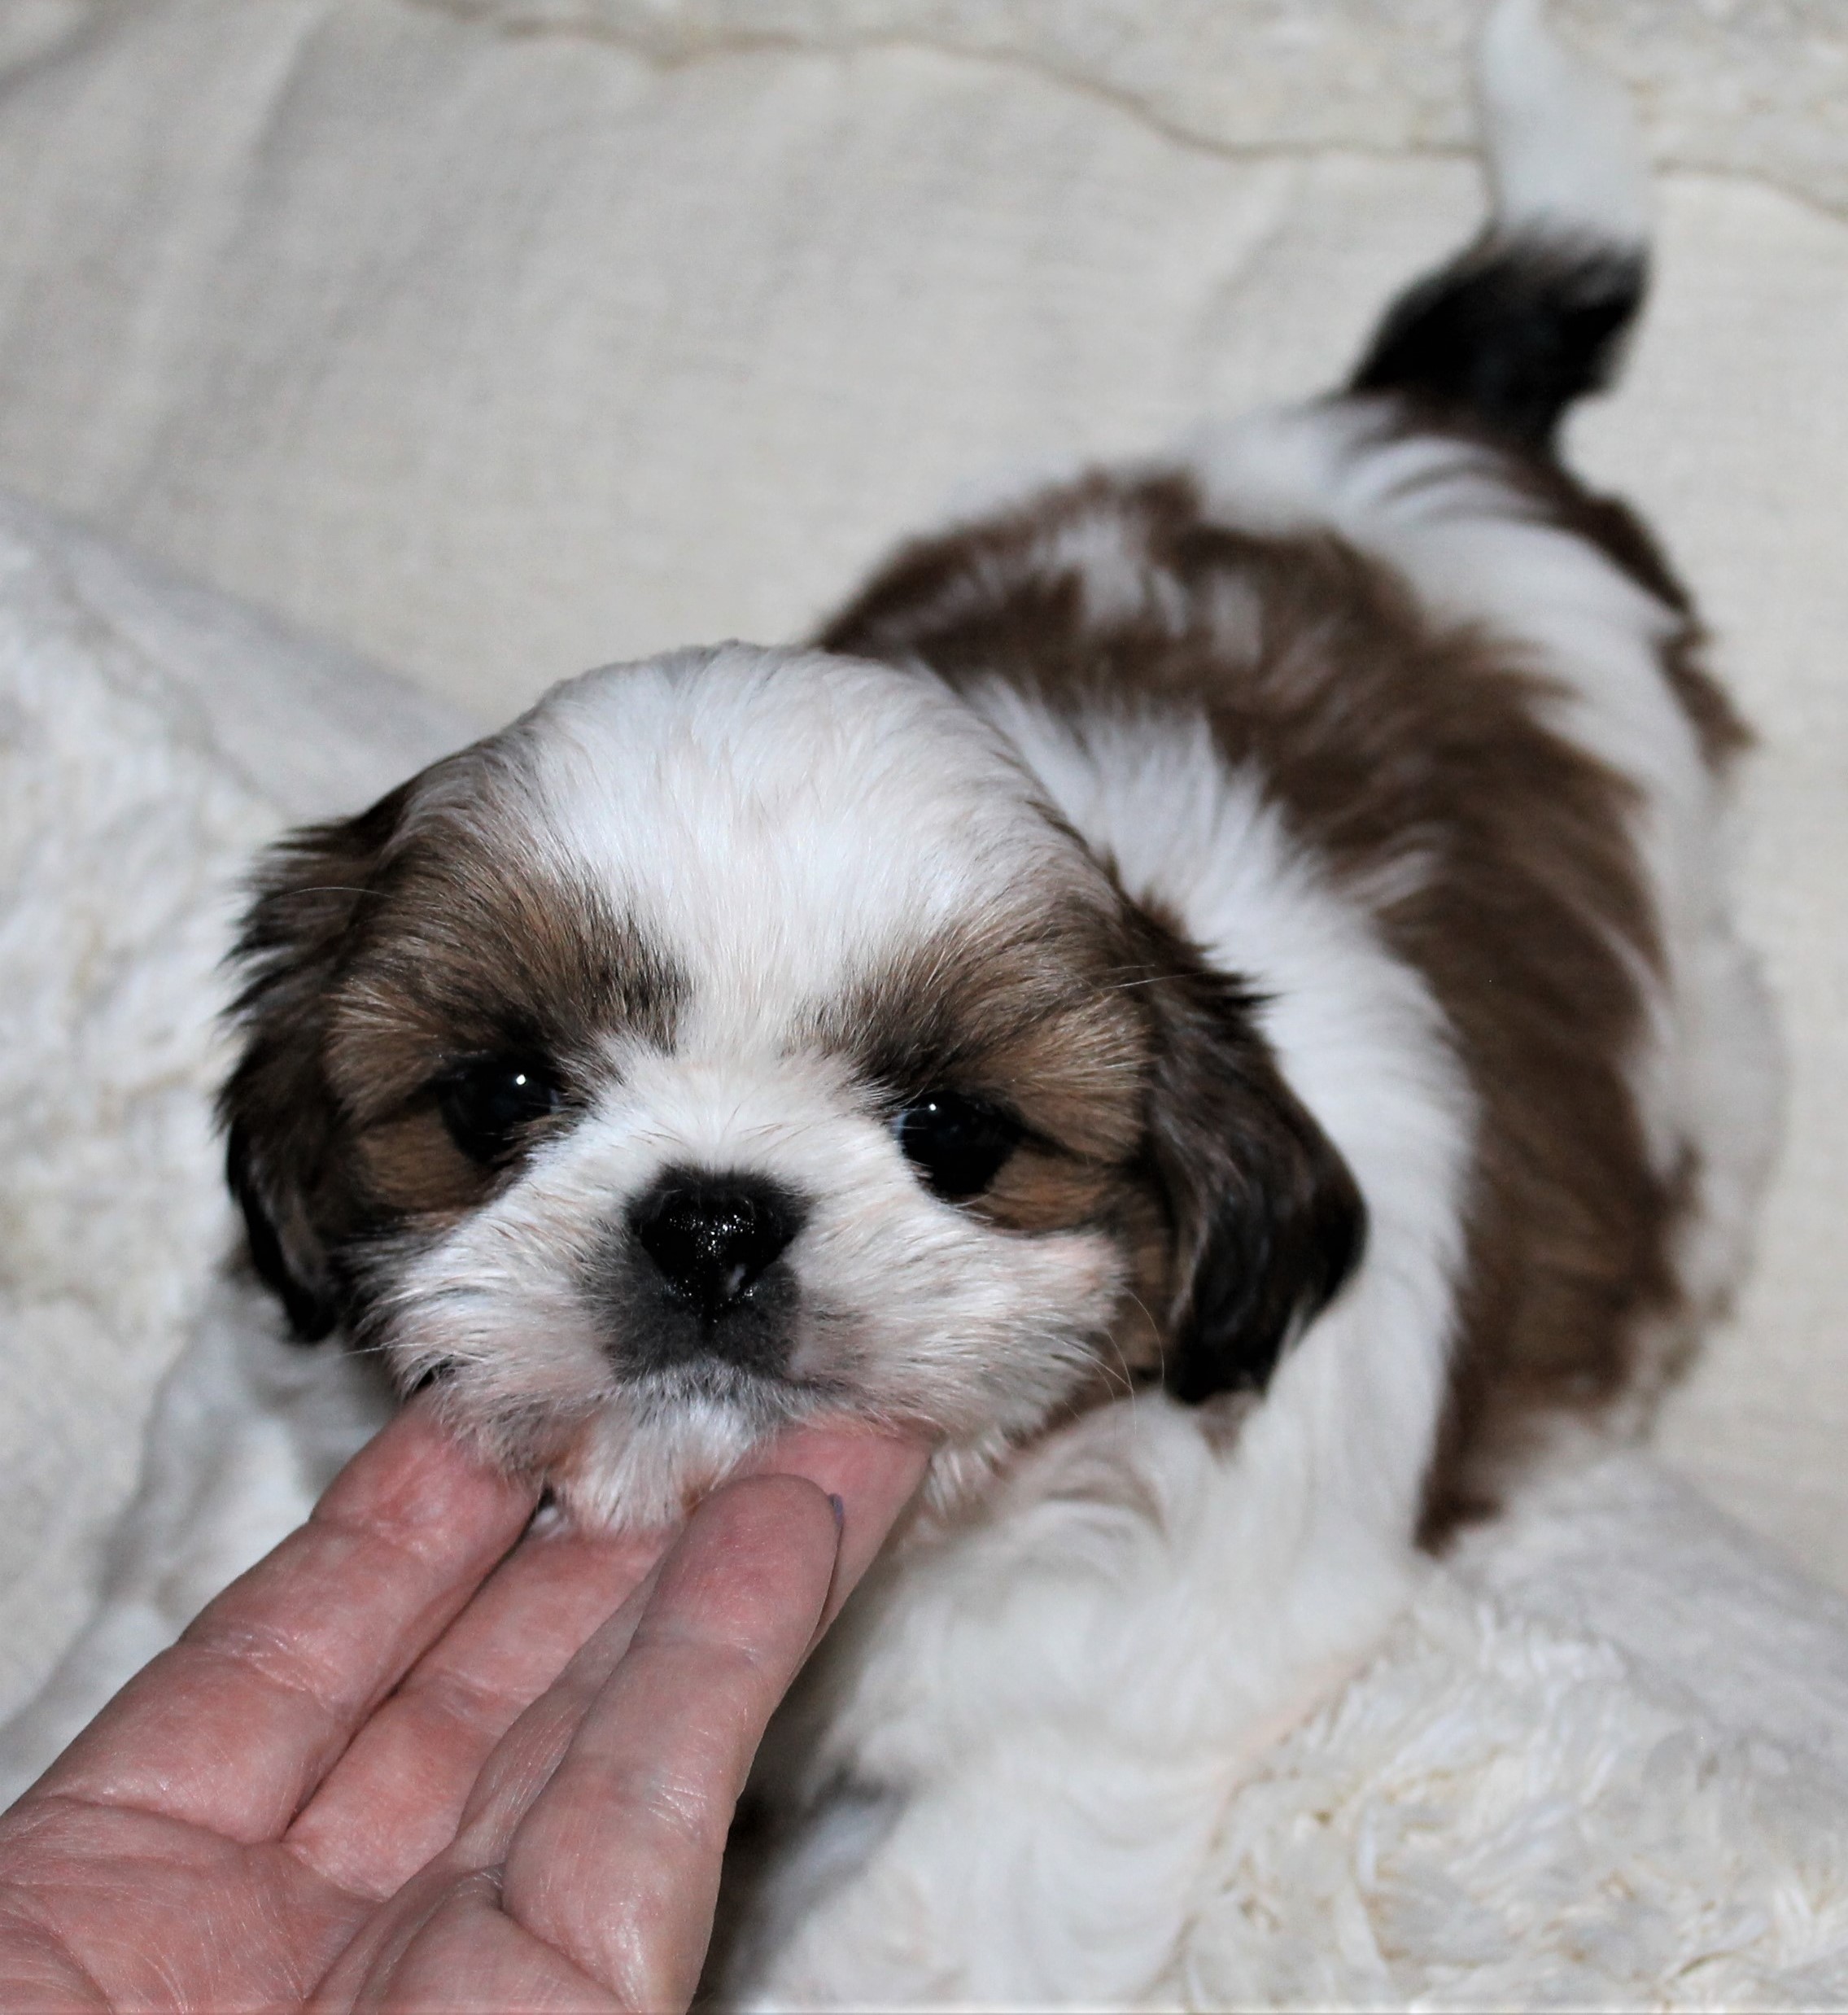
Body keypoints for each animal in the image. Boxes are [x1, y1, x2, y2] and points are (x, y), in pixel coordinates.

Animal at [7, 0, 1781, 1999]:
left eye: (956, 1133)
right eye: (498, 1095)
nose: (710, 1219)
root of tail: (1428, 436)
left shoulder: (1092, 1713)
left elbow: (930, 1915)